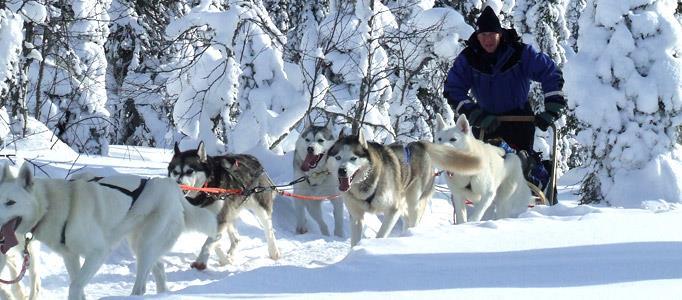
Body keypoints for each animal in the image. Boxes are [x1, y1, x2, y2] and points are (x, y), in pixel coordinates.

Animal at [0, 164, 215, 300]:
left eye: (10, 202)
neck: (52, 205)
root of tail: (172, 186)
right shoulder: (70, 256)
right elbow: (78, 287)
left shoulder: (98, 253)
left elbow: (75, 286)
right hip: (141, 245)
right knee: (159, 269)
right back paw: (162, 295)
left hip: (145, 246)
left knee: (141, 286)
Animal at [167, 141, 278, 270]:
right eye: (175, 172)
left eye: (189, 171)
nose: (178, 185)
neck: (206, 188)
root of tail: (255, 160)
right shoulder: (213, 220)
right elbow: (215, 243)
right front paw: (226, 260)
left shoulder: (220, 219)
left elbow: (208, 244)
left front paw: (200, 261)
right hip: (230, 214)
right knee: (237, 239)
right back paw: (231, 254)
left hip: (261, 209)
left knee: (269, 230)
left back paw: (274, 252)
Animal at [326, 129, 480, 246]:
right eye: (338, 157)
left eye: (353, 158)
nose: (342, 170)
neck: (366, 186)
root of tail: (419, 144)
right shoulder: (357, 217)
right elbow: (354, 241)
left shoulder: (393, 210)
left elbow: (381, 234)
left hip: (413, 202)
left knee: (413, 220)